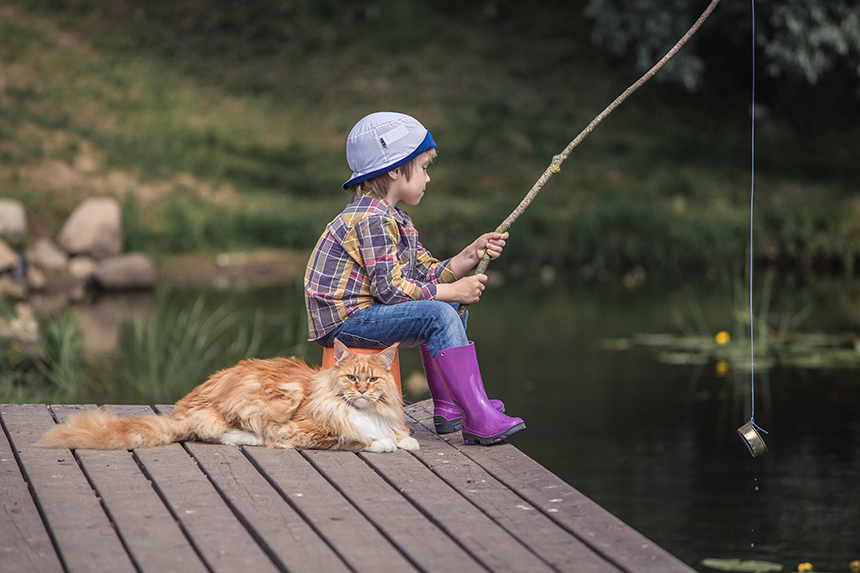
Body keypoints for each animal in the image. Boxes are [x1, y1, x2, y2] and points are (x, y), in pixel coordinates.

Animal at [37, 340, 420, 452]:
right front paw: (384, 443)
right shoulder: (298, 431)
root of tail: (178, 412)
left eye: (373, 380)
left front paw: (404, 439)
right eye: (352, 378)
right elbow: (354, 438)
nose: (361, 391)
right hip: (256, 404)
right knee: (214, 432)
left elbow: (395, 432)